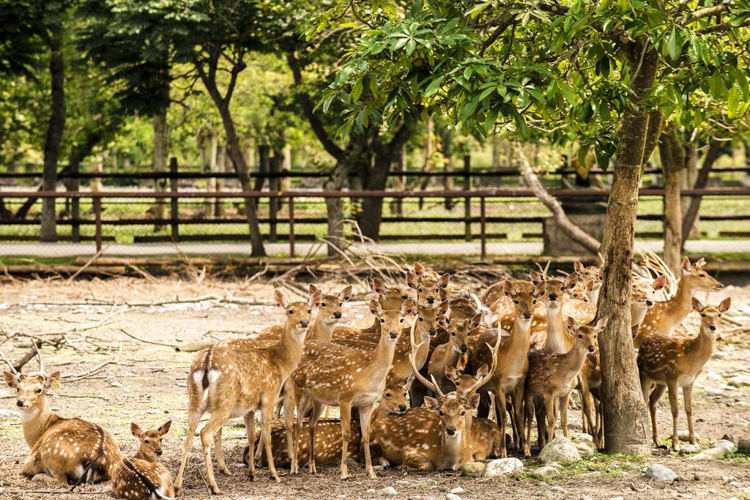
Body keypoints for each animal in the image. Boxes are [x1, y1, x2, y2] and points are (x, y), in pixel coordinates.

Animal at [177, 288, 324, 494]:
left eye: (309, 310)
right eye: (291, 311)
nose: (303, 323)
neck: (279, 364)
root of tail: (206, 361)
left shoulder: (249, 407)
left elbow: (252, 435)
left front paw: (252, 474)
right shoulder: (268, 396)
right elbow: (267, 434)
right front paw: (274, 474)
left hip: (194, 400)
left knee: (189, 436)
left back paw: (177, 486)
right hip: (225, 401)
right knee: (206, 432)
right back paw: (213, 485)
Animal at [290, 298, 418, 478]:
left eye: (401, 319)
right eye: (382, 319)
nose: (393, 333)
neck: (368, 373)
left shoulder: (368, 402)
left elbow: (366, 435)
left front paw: (371, 472)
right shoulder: (345, 396)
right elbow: (346, 433)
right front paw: (344, 472)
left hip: (318, 398)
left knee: (311, 424)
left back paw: (312, 467)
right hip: (298, 387)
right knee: (298, 424)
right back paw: (294, 467)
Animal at [524, 318, 608, 456]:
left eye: (594, 335)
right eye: (580, 335)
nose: (591, 348)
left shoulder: (565, 393)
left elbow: (563, 420)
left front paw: (567, 444)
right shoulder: (548, 393)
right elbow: (551, 419)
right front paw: (548, 445)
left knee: (536, 413)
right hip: (528, 392)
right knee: (528, 415)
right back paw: (526, 449)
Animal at [636, 294, 732, 452]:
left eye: (719, 314)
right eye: (703, 314)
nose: (712, 327)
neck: (690, 361)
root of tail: (646, 339)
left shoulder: (689, 381)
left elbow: (689, 409)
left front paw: (693, 441)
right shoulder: (672, 377)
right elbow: (675, 409)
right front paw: (675, 444)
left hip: (660, 382)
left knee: (652, 401)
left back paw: (657, 440)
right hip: (644, 374)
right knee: (644, 400)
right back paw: (649, 439)